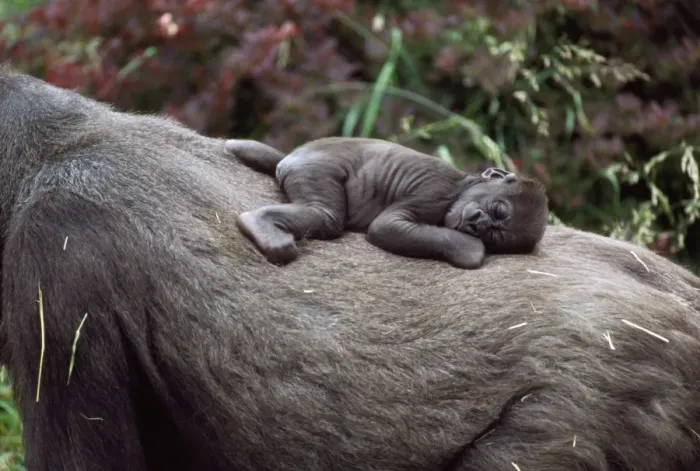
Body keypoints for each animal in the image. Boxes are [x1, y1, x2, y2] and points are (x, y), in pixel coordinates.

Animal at [224, 137, 548, 269]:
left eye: (495, 235)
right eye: (497, 210)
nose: (477, 224)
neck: (463, 183)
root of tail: (290, 158)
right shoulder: (437, 191)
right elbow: (386, 227)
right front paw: (469, 247)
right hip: (312, 169)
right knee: (326, 215)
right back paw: (260, 223)